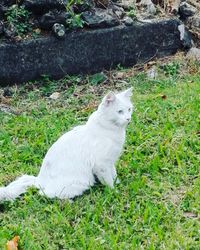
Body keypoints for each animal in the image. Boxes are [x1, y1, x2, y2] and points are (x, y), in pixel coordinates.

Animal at [0, 88, 134, 201]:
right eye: (119, 112)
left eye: (129, 109)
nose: (128, 119)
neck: (113, 131)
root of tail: (39, 180)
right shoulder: (101, 164)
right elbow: (108, 180)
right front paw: (114, 192)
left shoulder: (110, 161)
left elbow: (114, 174)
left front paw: (118, 183)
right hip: (81, 182)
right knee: (45, 194)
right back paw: (68, 202)